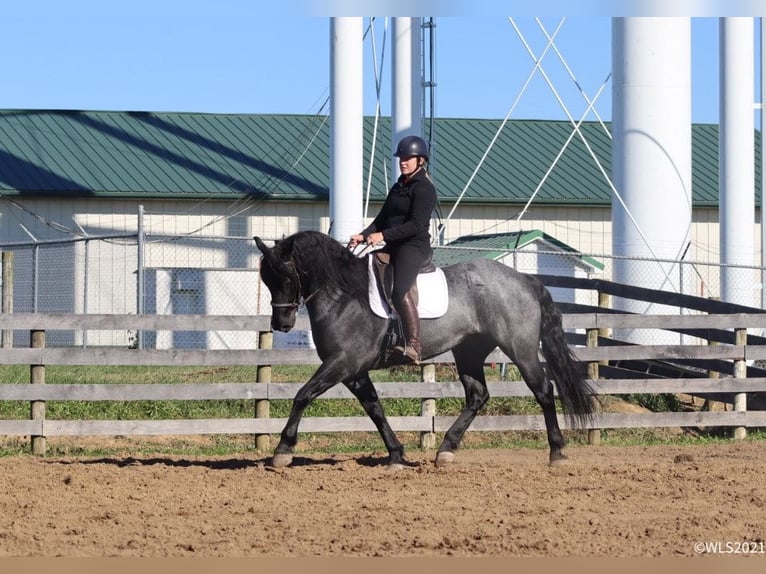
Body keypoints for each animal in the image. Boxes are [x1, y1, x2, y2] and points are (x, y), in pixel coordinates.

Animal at [255, 232, 596, 470]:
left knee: (543, 390)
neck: (345, 295)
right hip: (469, 351)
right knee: (477, 395)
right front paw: (396, 454)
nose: (281, 324)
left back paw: (557, 452)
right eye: (266, 280)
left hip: (520, 348)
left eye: (287, 276)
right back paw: (445, 450)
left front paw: (283, 450)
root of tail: (524, 278)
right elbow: (374, 409)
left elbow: (303, 395)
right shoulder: (354, 370)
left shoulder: (343, 362)